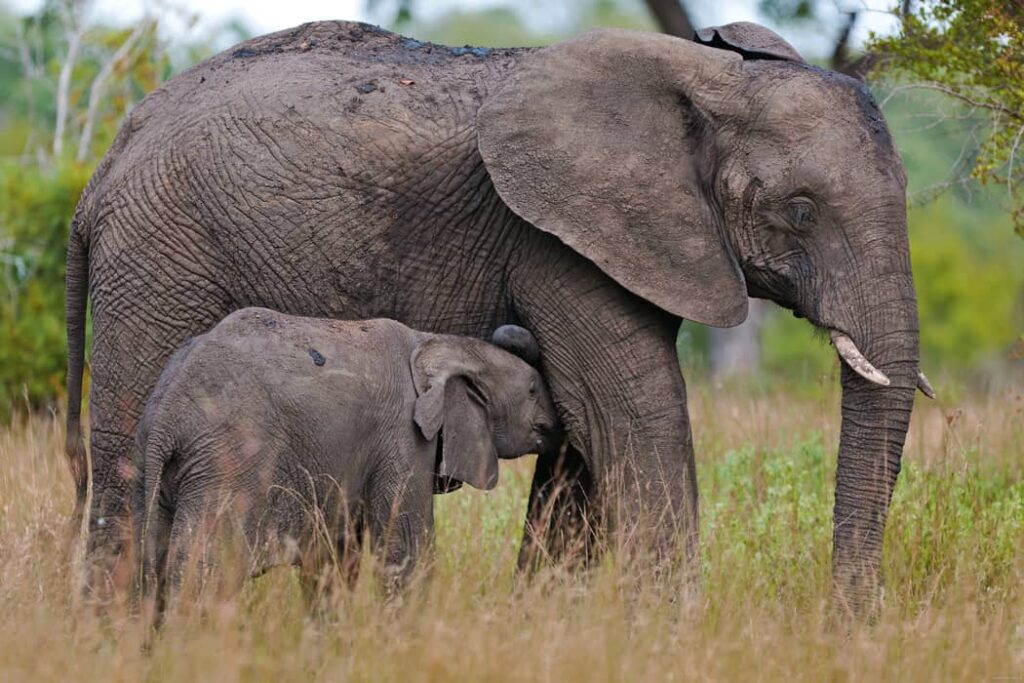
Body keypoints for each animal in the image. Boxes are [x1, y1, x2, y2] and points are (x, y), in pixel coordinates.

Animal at [134, 311, 561, 618]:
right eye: (532, 390)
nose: (555, 426)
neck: (439, 343)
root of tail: (166, 416)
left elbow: (333, 556)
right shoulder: (403, 436)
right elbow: (406, 548)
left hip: (156, 476)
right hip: (228, 464)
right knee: (203, 569)